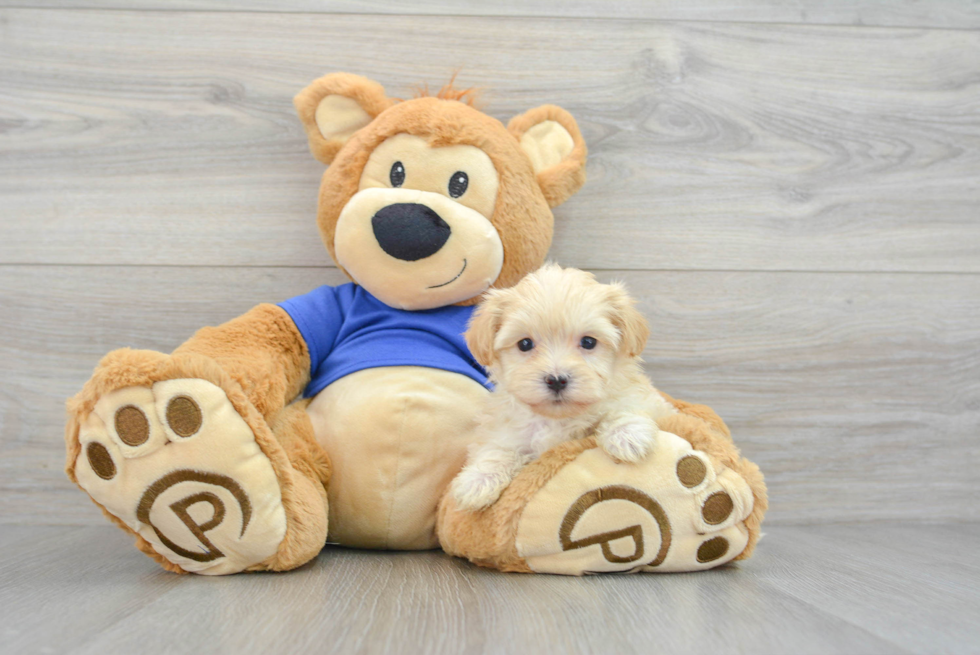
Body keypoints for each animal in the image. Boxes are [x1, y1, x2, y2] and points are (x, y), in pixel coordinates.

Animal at [450, 264, 672, 510]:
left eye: (588, 342)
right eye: (525, 344)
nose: (556, 380)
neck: (556, 418)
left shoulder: (647, 400)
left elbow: (624, 406)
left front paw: (627, 435)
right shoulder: (504, 429)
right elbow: (497, 448)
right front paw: (478, 480)